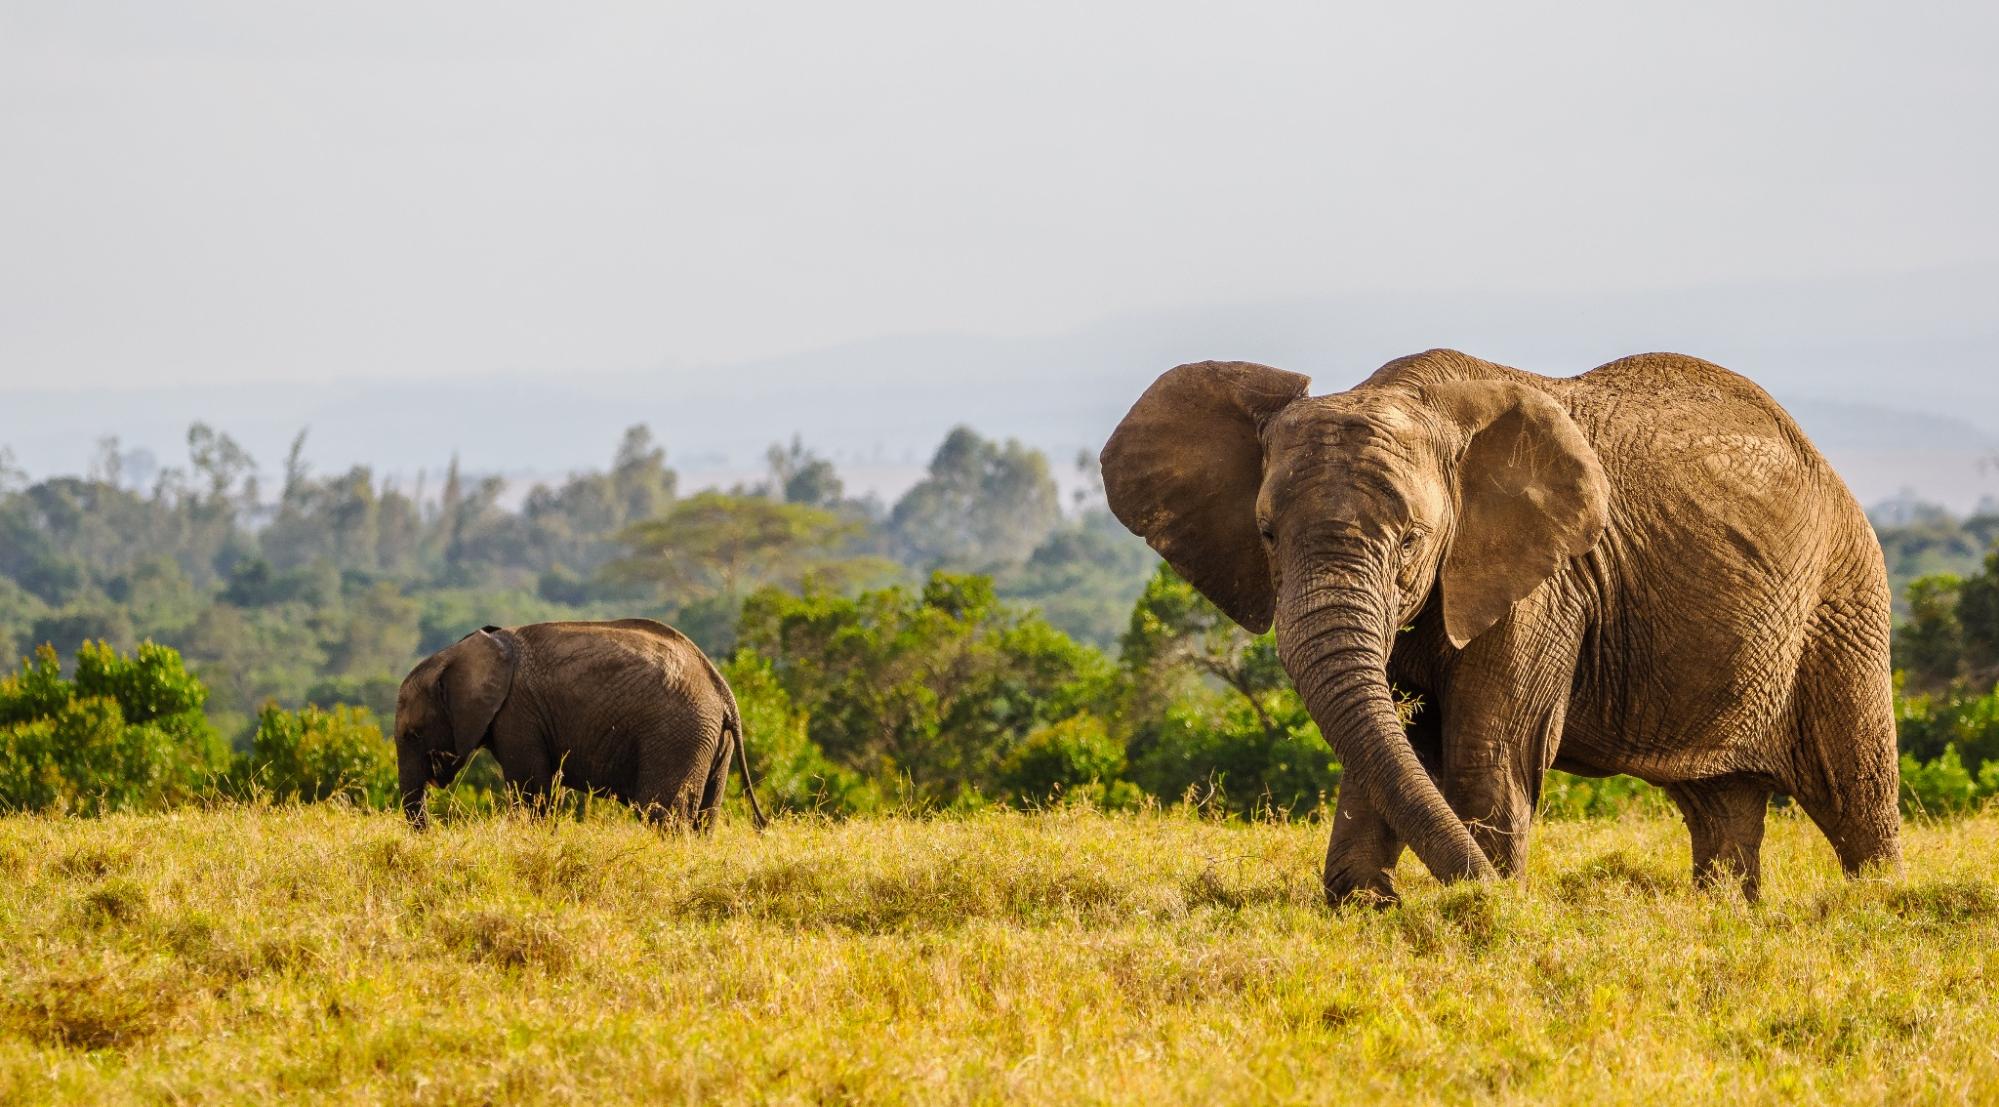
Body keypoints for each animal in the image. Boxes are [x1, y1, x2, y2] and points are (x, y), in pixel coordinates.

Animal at [395, 611, 763, 827]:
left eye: (413, 734)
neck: (463, 651)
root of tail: (722, 691)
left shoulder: (517, 714)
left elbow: (532, 789)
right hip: (711, 741)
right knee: (705, 817)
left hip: (678, 736)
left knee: (662, 814)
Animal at [1103, 349, 1895, 899]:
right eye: (1266, 534)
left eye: (1412, 540)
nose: (1494, 891)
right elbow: (1387, 741)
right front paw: (1365, 905)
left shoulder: (1542, 584)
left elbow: (1487, 746)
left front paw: (1490, 905)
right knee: (1720, 808)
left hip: (1843, 602)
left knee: (1857, 796)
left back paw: (1880, 908)